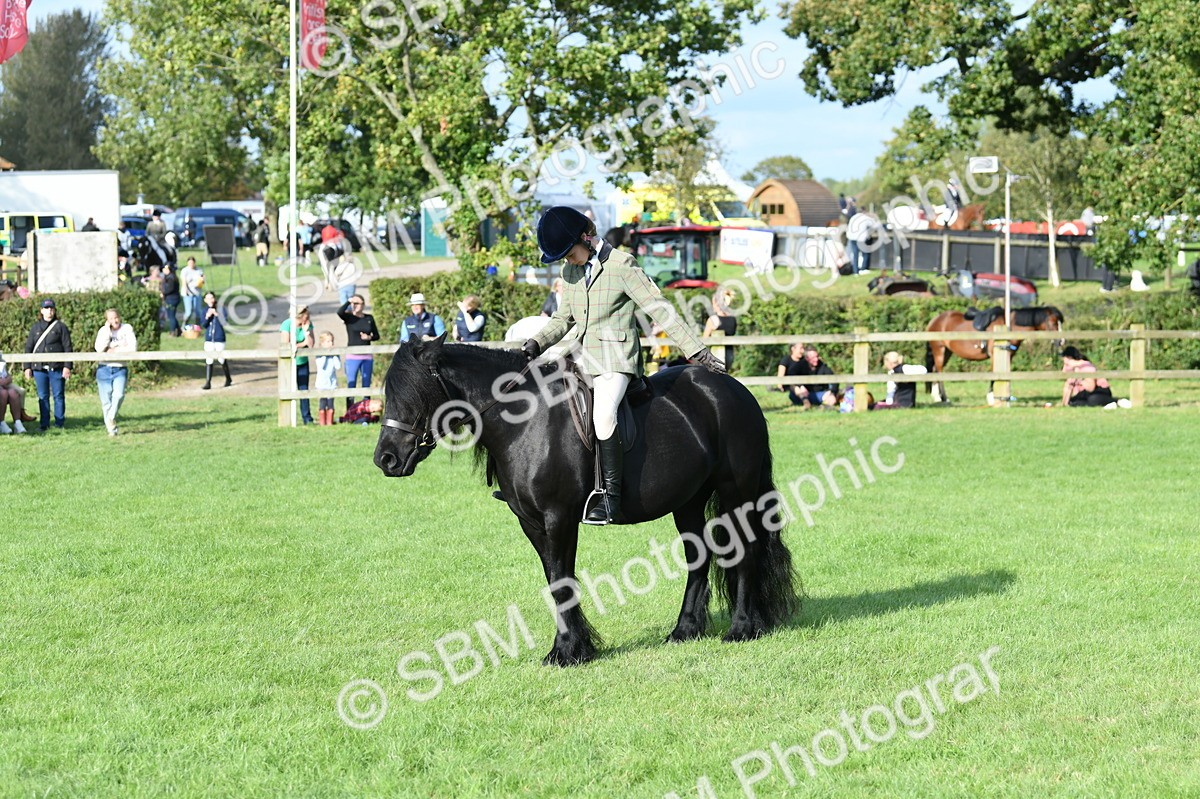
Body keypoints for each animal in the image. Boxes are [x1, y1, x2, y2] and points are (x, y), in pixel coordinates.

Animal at [374, 335, 799, 666]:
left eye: (415, 393)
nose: (385, 459)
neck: (525, 422)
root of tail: (733, 389)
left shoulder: (559, 518)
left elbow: (563, 580)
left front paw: (567, 651)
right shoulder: (531, 523)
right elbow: (554, 581)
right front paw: (572, 648)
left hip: (736, 491)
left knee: (744, 551)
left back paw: (742, 628)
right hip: (689, 501)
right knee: (699, 557)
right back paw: (685, 630)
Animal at [925, 306, 1065, 403]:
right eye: (1053, 322)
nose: (1062, 341)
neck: (1009, 327)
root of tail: (934, 320)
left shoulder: (1009, 356)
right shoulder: (994, 356)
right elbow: (994, 375)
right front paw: (991, 397)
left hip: (947, 352)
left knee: (934, 370)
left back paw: (936, 397)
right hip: (940, 350)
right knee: (939, 371)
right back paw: (944, 398)